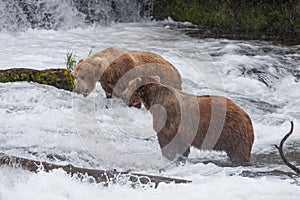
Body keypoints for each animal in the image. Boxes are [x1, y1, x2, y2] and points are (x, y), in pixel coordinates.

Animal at [123, 76, 254, 165]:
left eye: (128, 86)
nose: (125, 97)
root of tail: (247, 116)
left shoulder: (169, 118)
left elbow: (166, 139)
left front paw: (167, 157)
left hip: (234, 134)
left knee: (239, 154)